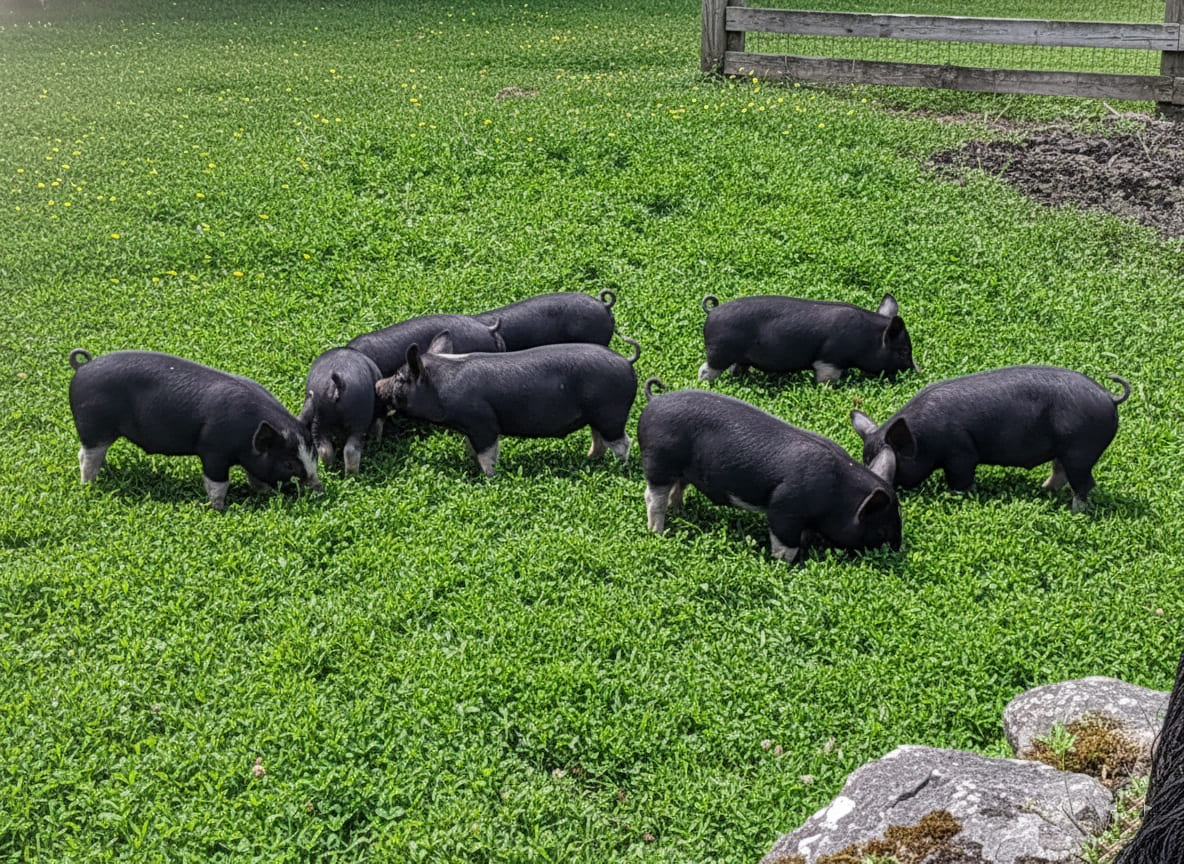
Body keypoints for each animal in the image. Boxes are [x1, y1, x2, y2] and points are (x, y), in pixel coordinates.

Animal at [67, 348, 320, 511]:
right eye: (289, 464)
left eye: (314, 455)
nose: (319, 490)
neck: (247, 436)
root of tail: (83, 366)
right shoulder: (213, 451)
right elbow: (217, 483)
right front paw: (219, 509)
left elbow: (255, 476)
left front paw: (267, 493)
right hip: (93, 425)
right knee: (86, 456)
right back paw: (89, 485)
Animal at [374, 332, 641, 477]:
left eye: (400, 378)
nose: (377, 385)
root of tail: (626, 361)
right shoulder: (470, 427)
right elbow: (472, 449)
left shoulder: (483, 423)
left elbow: (487, 452)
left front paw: (489, 477)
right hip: (596, 416)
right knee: (600, 439)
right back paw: (589, 459)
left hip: (611, 413)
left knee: (623, 442)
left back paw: (619, 468)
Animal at [637, 378, 901, 562]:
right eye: (881, 530)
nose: (897, 550)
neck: (838, 495)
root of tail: (654, 400)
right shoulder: (784, 506)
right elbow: (784, 541)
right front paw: (785, 564)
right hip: (658, 461)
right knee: (652, 497)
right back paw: (658, 532)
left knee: (677, 487)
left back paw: (680, 509)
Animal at [698, 293, 916, 384]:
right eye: (904, 351)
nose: (917, 371)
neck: (867, 339)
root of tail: (713, 311)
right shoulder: (829, 359)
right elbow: (826, 377)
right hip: (719, 352)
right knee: (705, 370)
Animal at [850, 365, 1131, 511]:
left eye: (895, 466)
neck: (922, 438)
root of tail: (1108, 396)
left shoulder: (960, 453)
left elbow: (961, 479)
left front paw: (962, 495)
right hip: (1068, 450)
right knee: (1060, 471)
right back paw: (1042, 491)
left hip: (1080, 451)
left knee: (1084, 483)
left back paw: (1074, 512)